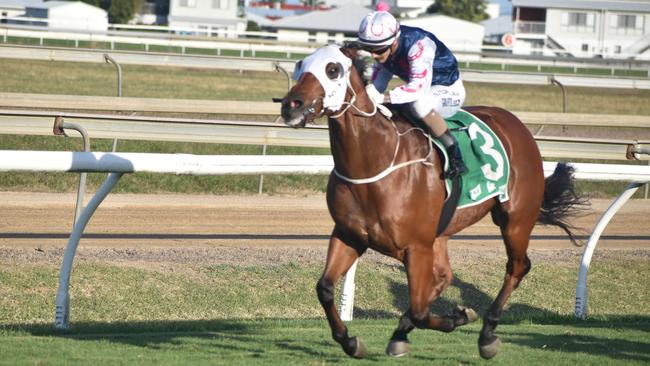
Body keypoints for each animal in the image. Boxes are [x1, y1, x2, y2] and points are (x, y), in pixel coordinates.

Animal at [278, 45, 584, 358]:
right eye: (301, 65)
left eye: (332, 69)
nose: (291, 105)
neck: (375, 161)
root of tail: (516, 123)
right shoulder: (349, 236)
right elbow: (325, 287)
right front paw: (351, 342)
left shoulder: (416, 247)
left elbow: (419, 311)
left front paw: (455, 319)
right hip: (442, 233)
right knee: (444, 276)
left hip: (515, 220)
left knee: (516, 267)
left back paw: (487, 333)